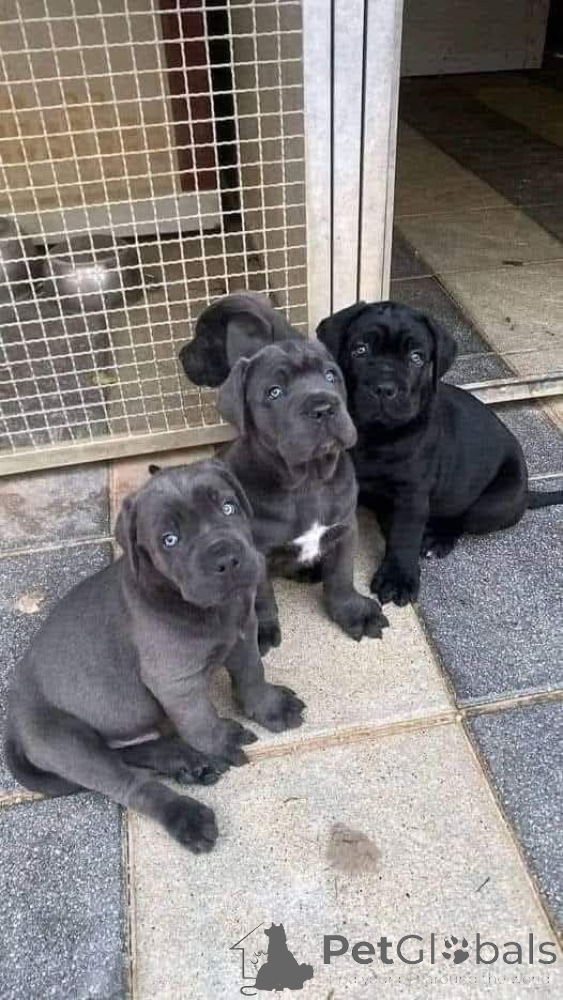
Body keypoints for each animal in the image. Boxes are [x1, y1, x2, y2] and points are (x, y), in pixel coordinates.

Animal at [6, 460, 305, 851]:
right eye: (169, 540)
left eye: (229, 507)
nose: (227, 560)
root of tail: (13, 719)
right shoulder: (174, 680)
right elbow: (199, 718)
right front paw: (221, 741)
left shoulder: (243, 633)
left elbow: (253, 674)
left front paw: (270, 708)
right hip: (65, 740)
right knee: (130, 784)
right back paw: (186, 814)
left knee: (125, 754)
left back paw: (182, 760)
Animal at [179, 297, 389, 652]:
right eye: (274, 392)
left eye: (331, 376)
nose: (323, 407)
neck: (309, 481)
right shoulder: (255, 554)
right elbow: (261, 597)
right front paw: (262, 631)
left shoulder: (345, 528)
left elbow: (341, 578)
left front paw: (353, 612)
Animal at [317, 300, 563, 606]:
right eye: (360, 350)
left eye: (416, 357)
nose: (385, 389)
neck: (374, 434)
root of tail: (527, 493)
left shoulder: (412, 495)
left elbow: (406, 536)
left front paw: (398, 579)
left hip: (491, 504)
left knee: (461, 519)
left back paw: (437, 539)